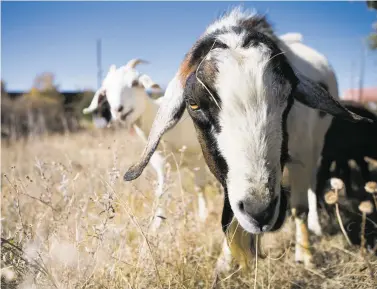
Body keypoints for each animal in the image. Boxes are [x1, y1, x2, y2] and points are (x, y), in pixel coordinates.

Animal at [122, 6, 372, 268]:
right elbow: (233, 215)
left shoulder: (302, 155)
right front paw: (227, 261)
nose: (259, 210)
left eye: (289, 96)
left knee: (313, 187)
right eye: (194, 104)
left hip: (316, 146)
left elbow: (299, 208)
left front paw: (305, 255)